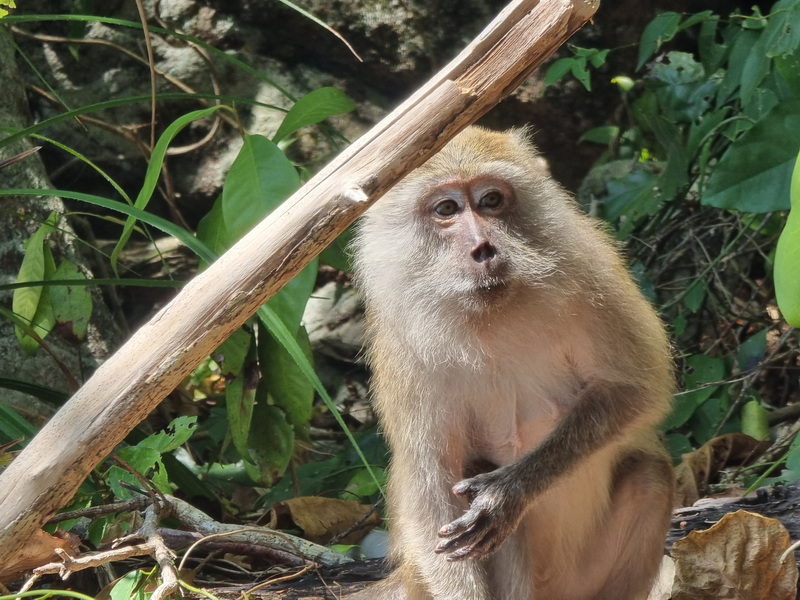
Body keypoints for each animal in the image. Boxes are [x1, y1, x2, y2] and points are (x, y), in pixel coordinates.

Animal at [350, 126, 676, 600]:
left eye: (491, 200)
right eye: (446, 209)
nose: (483, 248)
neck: (490, 316)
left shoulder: (589, 273)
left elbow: (634, 390)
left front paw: (506, 494)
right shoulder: (402, 345)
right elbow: (431, 480)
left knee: (650, 480)